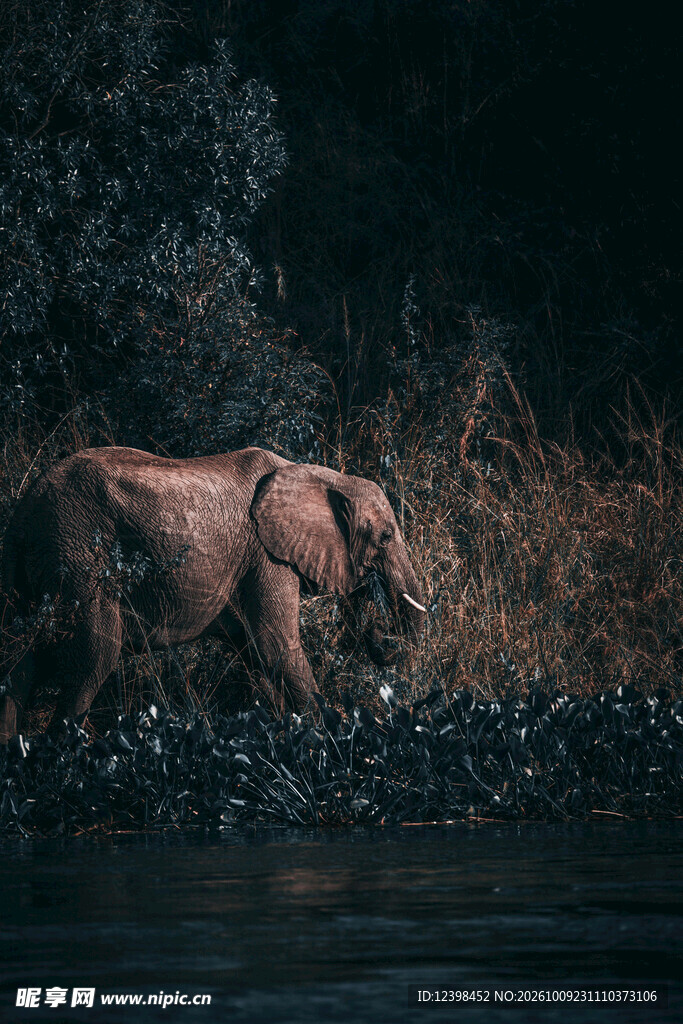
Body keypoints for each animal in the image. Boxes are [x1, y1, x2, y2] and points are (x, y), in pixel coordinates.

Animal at [0, 446, 425, 741]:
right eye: (385, 537)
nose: (381, 640)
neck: (319, 475)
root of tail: (24, 509)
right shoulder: (266, 556)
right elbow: (276, 646)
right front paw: (331, 733)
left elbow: (254, 652)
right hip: (80, 560)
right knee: (94, 657)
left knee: (18, 663)